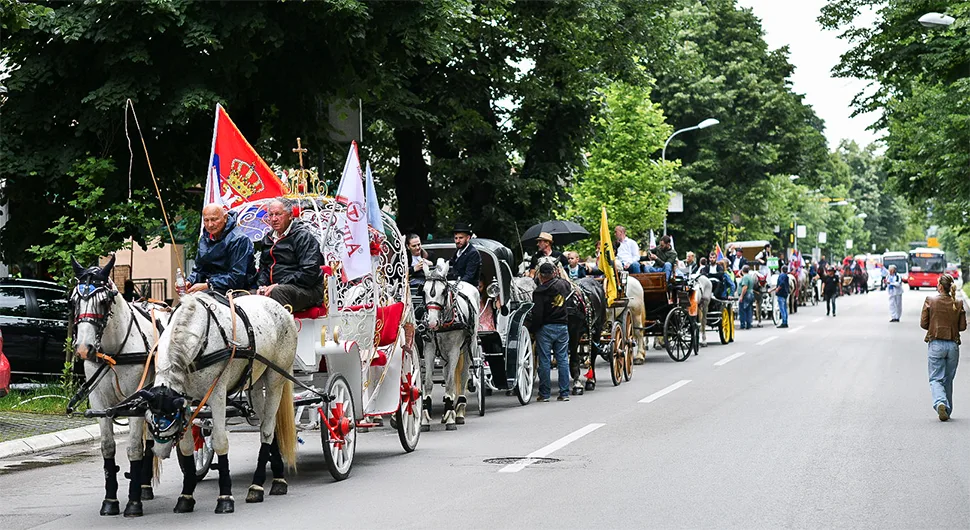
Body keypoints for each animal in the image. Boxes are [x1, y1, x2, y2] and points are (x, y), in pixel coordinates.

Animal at [71, 256, 170, 516]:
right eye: (73, 301)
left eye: (104, 301)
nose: (83, 349)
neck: (115, 352)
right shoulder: (99, 402)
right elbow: (107, 448)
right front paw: (110, 500)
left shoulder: (136, 402)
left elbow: (134, 448)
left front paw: (133, 503)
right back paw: (144, 487)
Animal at [142, 290, 296, 512]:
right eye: (149, 420)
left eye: (170, 421)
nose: (160, 452)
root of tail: (281, 308)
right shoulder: (187, 399)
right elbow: (187, 447)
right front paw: (186, 495)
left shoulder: (217, 394)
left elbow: (220, 441)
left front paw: (225, 496)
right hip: (256, 385)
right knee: (268, 424)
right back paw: (277, 478)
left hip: (276, 379)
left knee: (267, 429)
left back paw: (257, 486)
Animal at [418, 258, 478, 428]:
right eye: (423, 291)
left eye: (443, 292)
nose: (432, 322)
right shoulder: (429, 349)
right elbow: (428, 382)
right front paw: (425, 418)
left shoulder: (454, 351)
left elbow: (451, 382)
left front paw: (451, 417)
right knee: (446, 373)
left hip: (469, 347)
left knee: (463, 375)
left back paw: (458, 411)